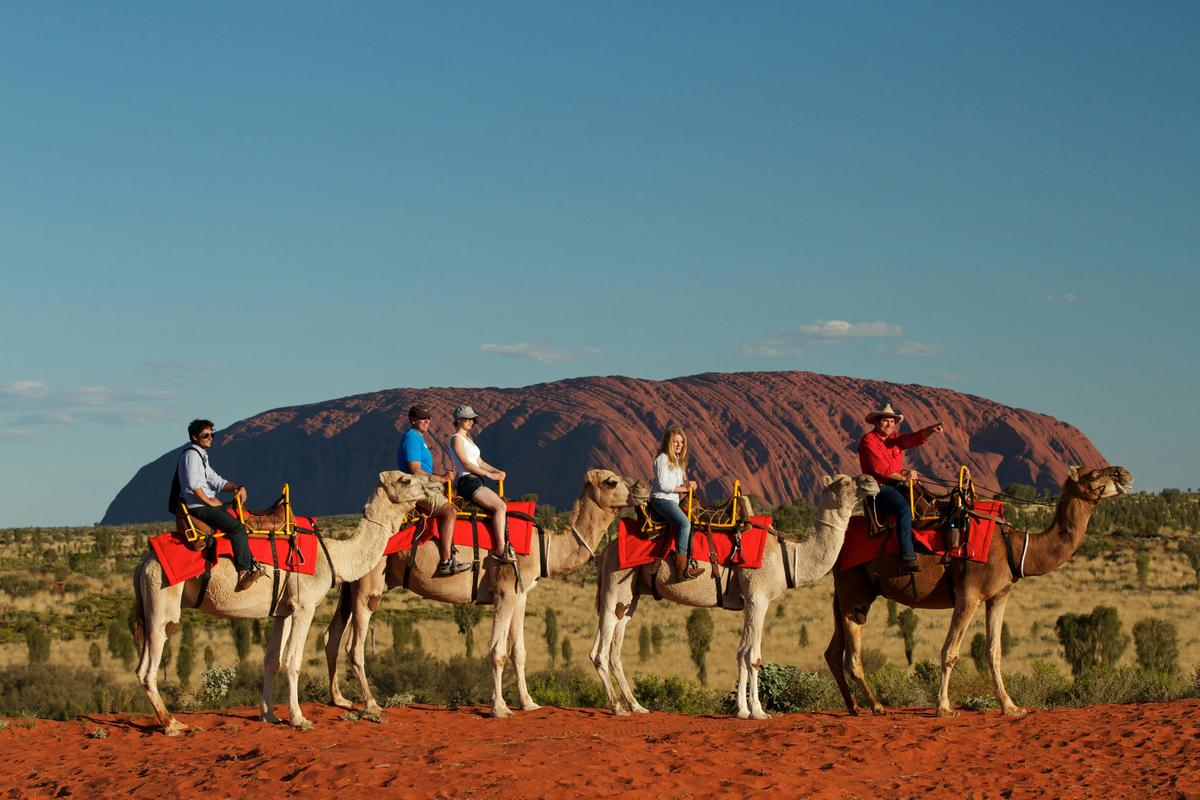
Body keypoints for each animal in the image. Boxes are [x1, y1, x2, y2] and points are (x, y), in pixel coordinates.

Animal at [133, 470, 445, 734]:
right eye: (405, 479)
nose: (437, 484)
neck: (332, 556)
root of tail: (144, 563)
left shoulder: (282, 611)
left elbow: (272, 660)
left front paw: (268, 715)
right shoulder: (304, 606)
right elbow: (293, 661)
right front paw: (299, 718)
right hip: (163, 601)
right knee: (148, 667)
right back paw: (172, 724)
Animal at [323, 468, 650, 718]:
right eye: (612, 481)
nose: (643, 488)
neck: (545, 547)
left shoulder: (521, 593)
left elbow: (519, 651)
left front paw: (529, 703)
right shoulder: (504, 591)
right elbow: (497, 652)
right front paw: (500, 708)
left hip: (351, 586)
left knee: (332, 636)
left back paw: (339, 699)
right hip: (369, 585)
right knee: (355, 645)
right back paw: (371, 704)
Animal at [589, 473, 880, 719]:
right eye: (844, 482)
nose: (872, 482)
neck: (789, 557)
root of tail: (607, 550)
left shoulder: (749, 601)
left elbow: (741, 653)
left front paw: (742, 710)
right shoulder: (758, 597)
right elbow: (754, 656)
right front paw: (759, 712)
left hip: (630, 595)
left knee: (614, 647)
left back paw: (637, 706)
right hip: (616, 582)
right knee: (600, 652)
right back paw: (617, 708)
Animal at [825, 465, 1132, 718]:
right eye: (1095, 474)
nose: (1125, 474)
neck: (1017, 547)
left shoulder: (998, 597)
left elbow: (994, 651)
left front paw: (1010, 707)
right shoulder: (968, 595)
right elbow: (950, 651)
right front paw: (944, 707)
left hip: (844, 595)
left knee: (833, 652)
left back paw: (855, 707)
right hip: (855, 592)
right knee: (852, 653)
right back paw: (877, 706)